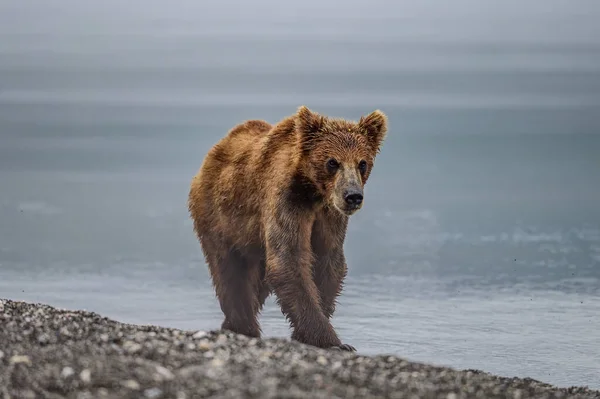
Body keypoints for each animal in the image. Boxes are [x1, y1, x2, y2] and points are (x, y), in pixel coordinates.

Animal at [188, 106, 390, 354]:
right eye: (333, 162)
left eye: (362, 162)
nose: (352, 196)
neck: (313, 192)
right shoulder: (286, 201)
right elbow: (289, 261)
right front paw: (333, 342)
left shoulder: (329, 216)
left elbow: (327, 264)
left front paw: (306, 334)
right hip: (218, 217)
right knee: (231, 273)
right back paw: (242, 326)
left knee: (258, 281)